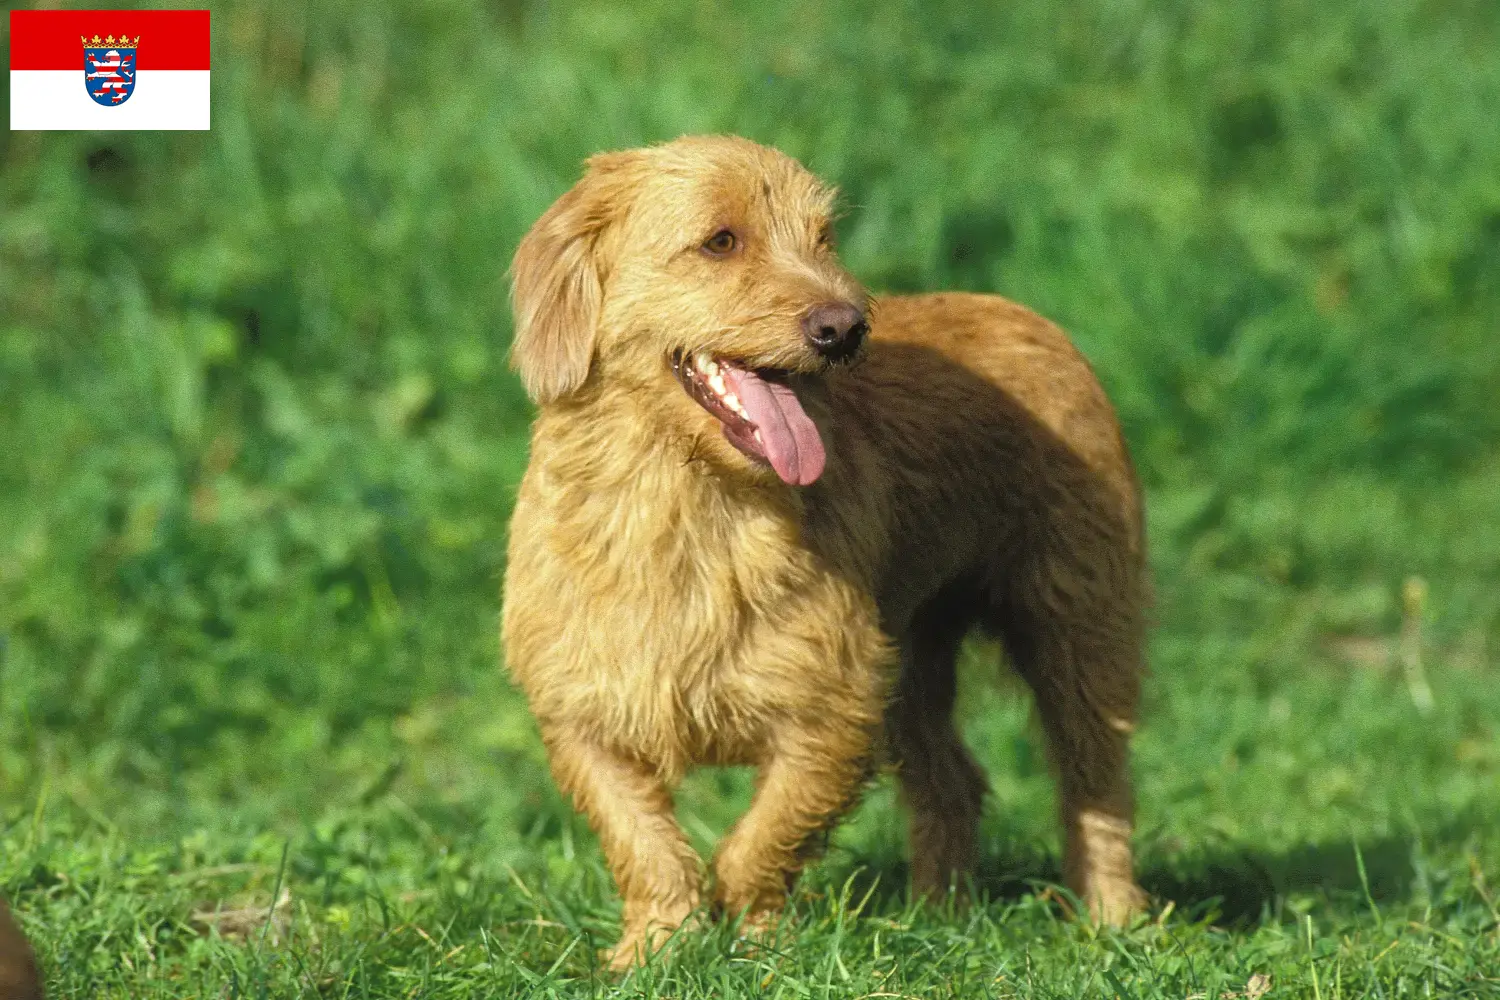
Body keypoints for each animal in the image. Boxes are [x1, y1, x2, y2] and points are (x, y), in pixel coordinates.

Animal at [504, 134, 1146, 971]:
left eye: (823, 239)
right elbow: (645, 846)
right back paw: (936, 919)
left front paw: (757, 944)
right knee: (954, 782)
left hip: (1076, 633)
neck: (689, 504)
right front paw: (655, 948)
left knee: (1095, 785)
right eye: (721, 241)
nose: (844, 328)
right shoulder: (582, 717)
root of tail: (1024, 314)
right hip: (913, 662)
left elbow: (762, 841)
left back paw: (1113, 922)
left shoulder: (834, 708)